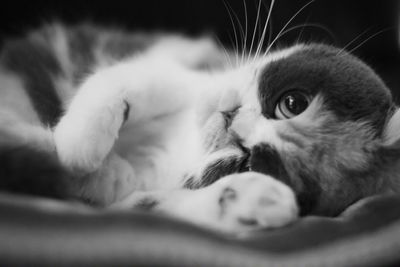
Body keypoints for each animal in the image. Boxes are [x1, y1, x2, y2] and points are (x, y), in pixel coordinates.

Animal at [0, 22, 400, 233]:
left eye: (248, 162)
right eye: (292, 104)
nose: (231, 119)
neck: (183, 142)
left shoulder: (136, 194)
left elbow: (134, 197)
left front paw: (252, 199)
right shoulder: (187, 74)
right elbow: (129, 80)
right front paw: (78, 145)